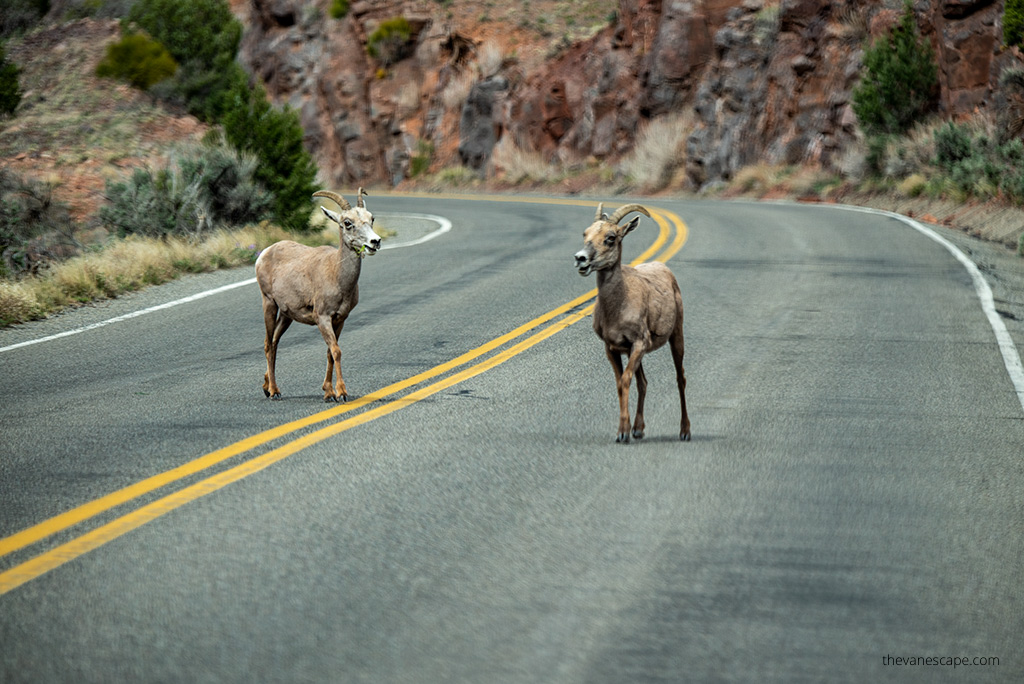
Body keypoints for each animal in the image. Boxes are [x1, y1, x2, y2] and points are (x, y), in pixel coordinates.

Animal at [255, 189, 381, 402]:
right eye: (348, 223)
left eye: (371, 218)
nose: (375, 242)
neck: (336, 275)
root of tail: (264, 253)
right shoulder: (323, 318)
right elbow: (336, 351)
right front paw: (341, 393)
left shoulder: (340, 320)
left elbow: (330, 353)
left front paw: (328, 393)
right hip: (269, 303)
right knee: (267, 344)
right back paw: (274, 391)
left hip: (287, 316)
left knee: (274, 343)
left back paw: (267, 386)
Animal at [574, 202, 690, 442]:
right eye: (585, 234)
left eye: (610, 238)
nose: (581, 258)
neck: (617, 307)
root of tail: (664, 269)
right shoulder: (613, 348)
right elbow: (621, 383)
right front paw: (626, 430)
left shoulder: (639, 343)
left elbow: (626, 381)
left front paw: (622, 433)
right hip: (633, 352)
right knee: (643, 382)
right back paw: (639, 429)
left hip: (676, 336)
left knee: (680, 378)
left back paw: (684, 431)